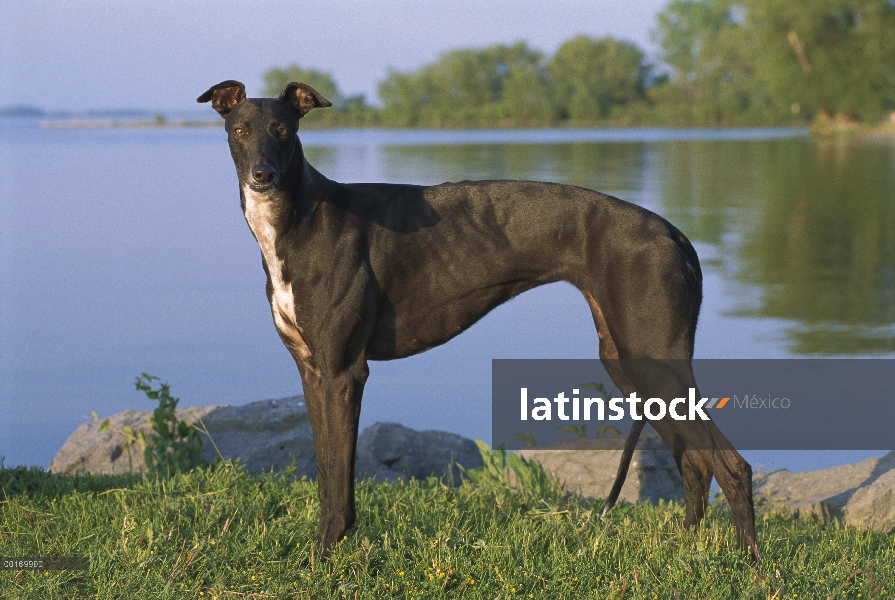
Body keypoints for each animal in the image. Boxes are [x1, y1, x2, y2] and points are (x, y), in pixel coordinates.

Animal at [200, 77, 760, 560]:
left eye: (284, 130)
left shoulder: (344, 372)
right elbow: (324, 471)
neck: (302, 218)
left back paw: (750, 564)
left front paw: (324, 557)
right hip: (629, 362)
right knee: (695, 462)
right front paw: (320, 553)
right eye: (240, 130)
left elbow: (340, 478)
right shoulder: (312, 370)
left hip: (654, 359)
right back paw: (685, 552)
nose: (263, 176)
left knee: (732, 465)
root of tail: (673, 233)